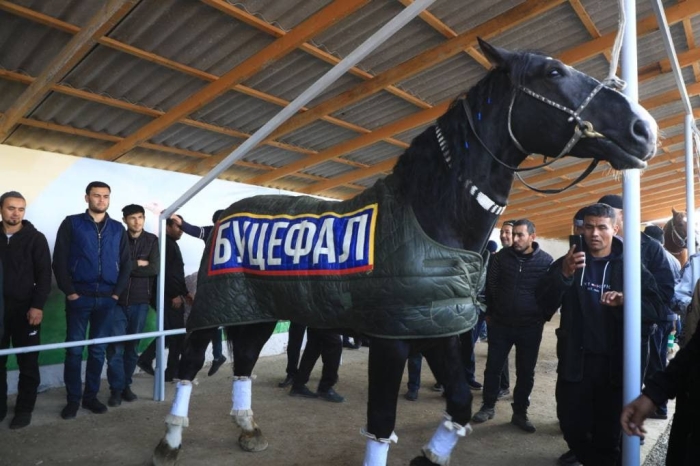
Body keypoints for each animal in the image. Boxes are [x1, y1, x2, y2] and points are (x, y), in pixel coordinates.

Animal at [152, 40, 656, 466]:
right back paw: (170, 441)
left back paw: (248, 428)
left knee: (245, 359)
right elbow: (381, 422)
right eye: (552, 72)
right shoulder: (392, 339)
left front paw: (430, 455)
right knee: (190, 363)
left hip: (257, 307)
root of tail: (222, 212)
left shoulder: (438, 328)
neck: (431, 218)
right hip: (215, 306)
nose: (644, 129)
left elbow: (459, 401)